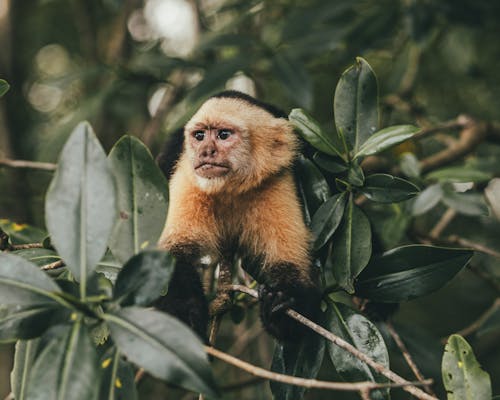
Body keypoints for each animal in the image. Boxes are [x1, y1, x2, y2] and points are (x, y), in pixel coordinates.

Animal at [156, 92, 320, 342]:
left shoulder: (277, 178)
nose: (206, 152)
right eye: (200, 136)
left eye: (224, 135)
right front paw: (185, 315)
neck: (229, 188)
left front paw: (281, 304)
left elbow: (292, 265)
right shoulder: (189, 175)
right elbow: (169, 254)